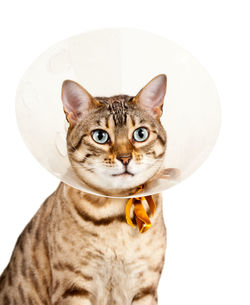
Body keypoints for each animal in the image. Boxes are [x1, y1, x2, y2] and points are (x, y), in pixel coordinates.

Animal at [0, 74, 168, 304]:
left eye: (140, 134)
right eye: (100, 136)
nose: (125, 158)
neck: (116, 219)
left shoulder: (146, 287)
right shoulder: (73, 286)